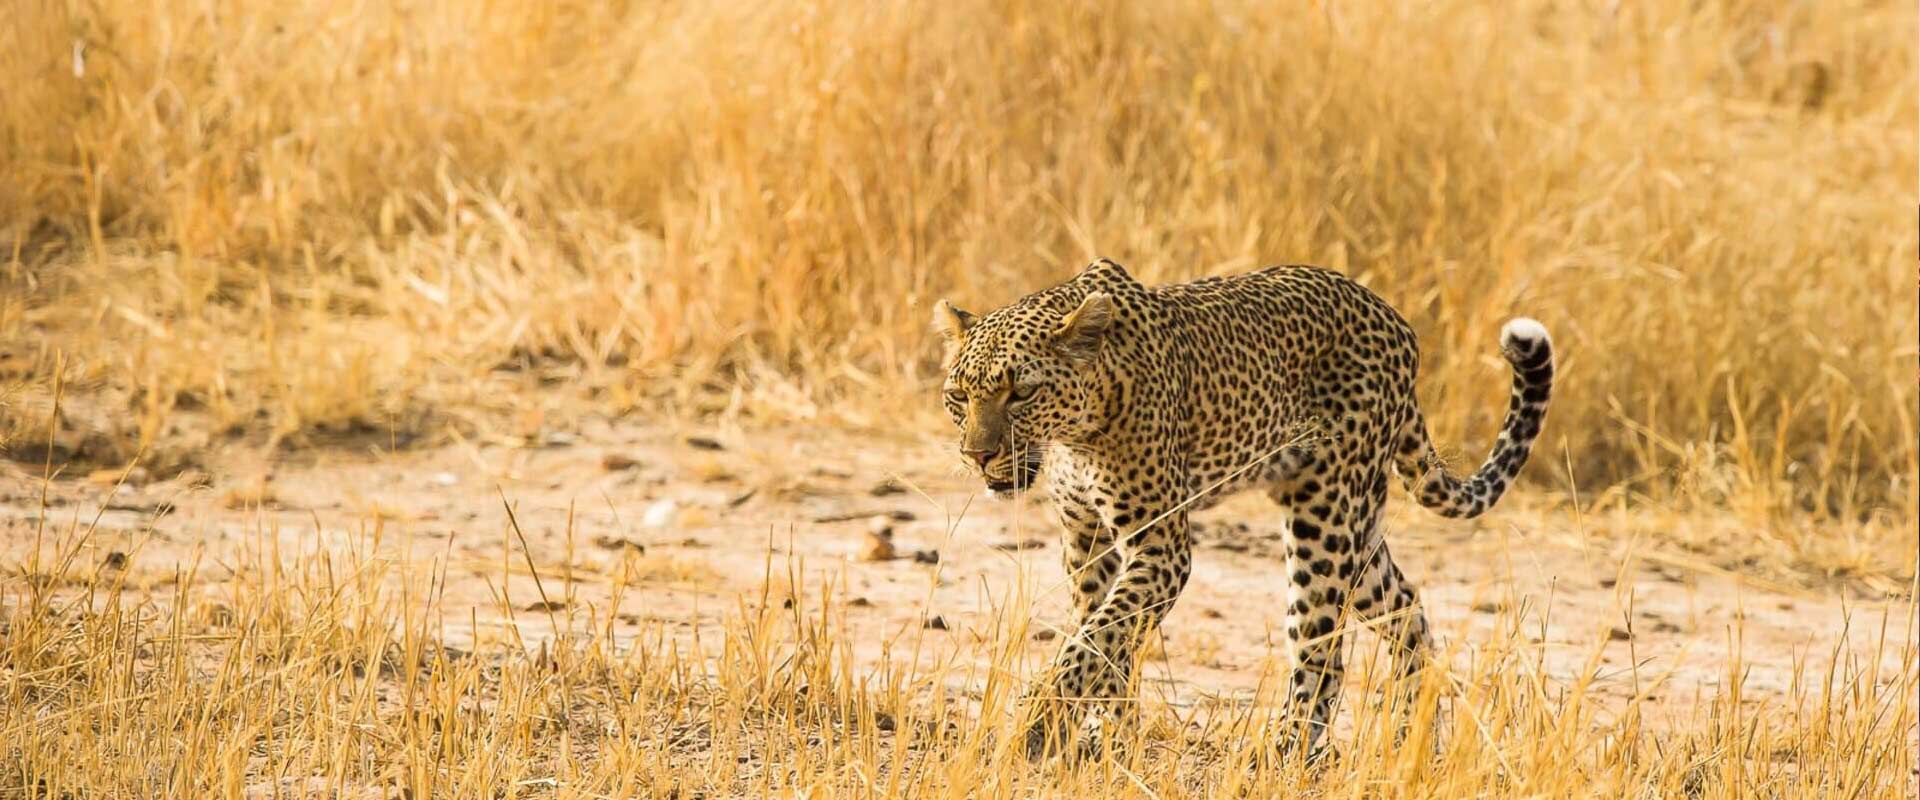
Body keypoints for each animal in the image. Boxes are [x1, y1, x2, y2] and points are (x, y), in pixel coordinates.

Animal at [933, 258, 1559, 755]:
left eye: (1022, 393)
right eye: (958, 396)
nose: (977, 455)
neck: (1074, 435)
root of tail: (1397, 321)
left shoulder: (1159, 545)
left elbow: (1097, 638)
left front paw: (1040, 726)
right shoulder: (1086, 541)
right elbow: (1105, 636)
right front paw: (1102, 732)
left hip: (1327, 516)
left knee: (1322, 647)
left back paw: (1287, 750)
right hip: (1355, 530)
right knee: (1404, 605)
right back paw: (1412, 736)